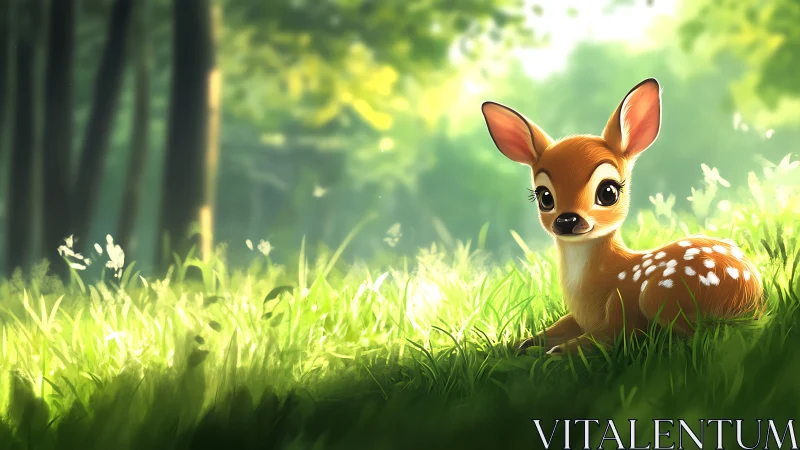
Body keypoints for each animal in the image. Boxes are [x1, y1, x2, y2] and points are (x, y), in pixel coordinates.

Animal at [480, 78, 764, 355]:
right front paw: (523, 343)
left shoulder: (622, 310)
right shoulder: (578, 317)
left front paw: (559, 350)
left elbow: (610, 337)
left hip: (660, 295)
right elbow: (556, 326)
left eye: (608, 191)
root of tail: (754, 291)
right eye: (544, 197)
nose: (567, 220)